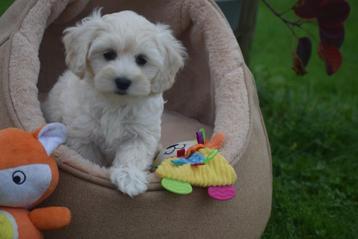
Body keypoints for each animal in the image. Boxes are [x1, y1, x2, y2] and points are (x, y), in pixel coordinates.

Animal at [42, 9, 186, 196]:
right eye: (108, 54)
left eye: (142, 60)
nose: (123, 81)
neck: (116, 102)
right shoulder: (83, 136)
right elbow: (88, 160)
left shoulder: (141, 134)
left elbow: (133, 155)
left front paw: (130, 178)